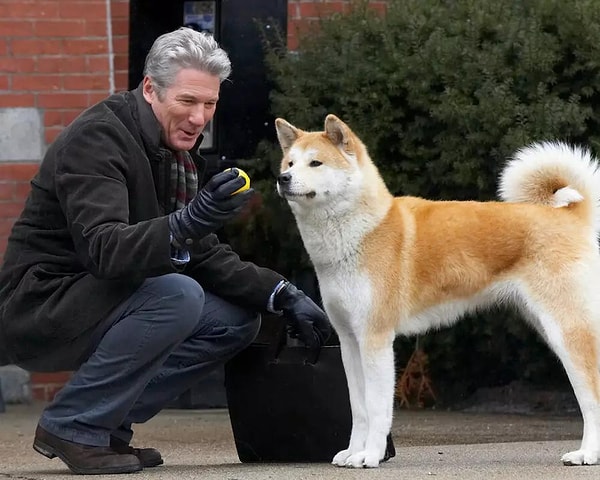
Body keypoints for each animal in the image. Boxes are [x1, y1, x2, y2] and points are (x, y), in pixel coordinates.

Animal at [274, 114, 600, 466]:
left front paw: (370, 456)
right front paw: (353, 452)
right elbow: (359, 409)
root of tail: (570, 216)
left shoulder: (375, 339)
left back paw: (586, 454)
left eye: (315, 163)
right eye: (290, 162)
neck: (364, 231)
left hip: (567, 332)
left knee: (591, 396)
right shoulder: (350, 340)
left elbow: (376, 409)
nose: (282, 178)